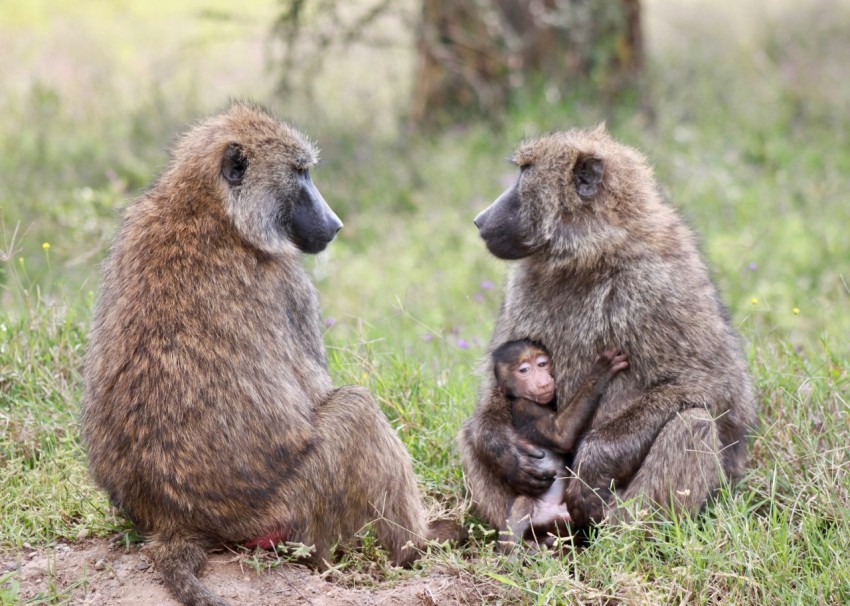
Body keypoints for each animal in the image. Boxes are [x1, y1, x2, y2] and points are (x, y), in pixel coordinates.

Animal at [80, 102, 457, 606]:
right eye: (300, 174)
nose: (334, 223)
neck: (208, 206)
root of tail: (175, 520)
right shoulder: (290, 281)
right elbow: (317, 394)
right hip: (290, 507)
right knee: (357, 411)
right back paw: (420, 546)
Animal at [491, 340, 628, 551]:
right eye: (524, 370)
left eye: (542, 364)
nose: (543, 381)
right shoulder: (525, 406)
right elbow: (561, 435)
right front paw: (600, 372)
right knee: (523, 503)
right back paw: (514, 553)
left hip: (563, 517)